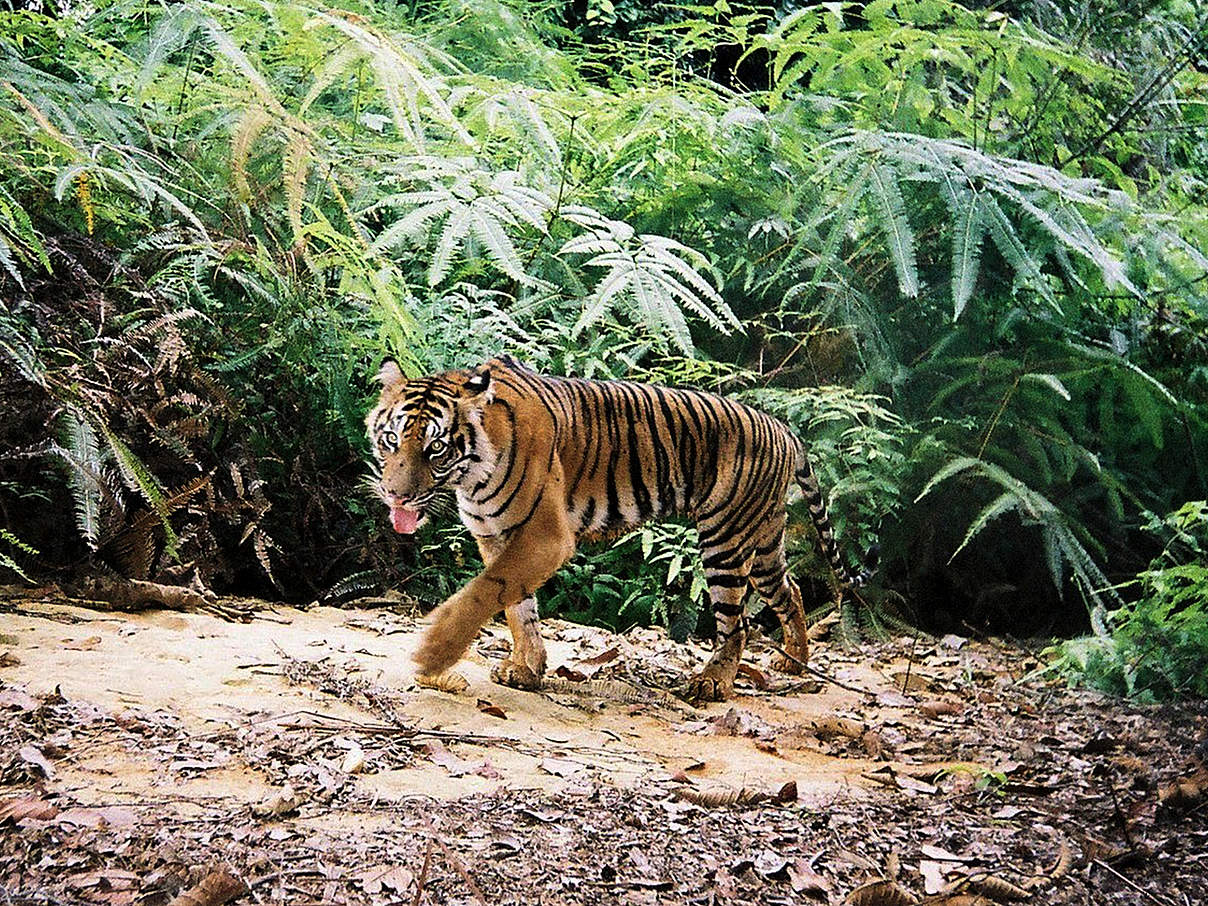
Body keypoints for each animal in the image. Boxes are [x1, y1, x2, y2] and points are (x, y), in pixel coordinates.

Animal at [367, 355, 869, 700]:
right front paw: (527, 669)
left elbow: (484, 594)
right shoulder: (495, 535)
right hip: (762, 541)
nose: (396, 496)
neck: (469, 476)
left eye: (435, 449)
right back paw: (795, 664)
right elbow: (515, 607)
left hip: (725, 540)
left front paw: (433, 653)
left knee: (736, 621)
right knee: (792, 591)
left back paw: (712, 682)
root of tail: (783, 427)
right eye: (390, 440)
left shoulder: (545, 537)